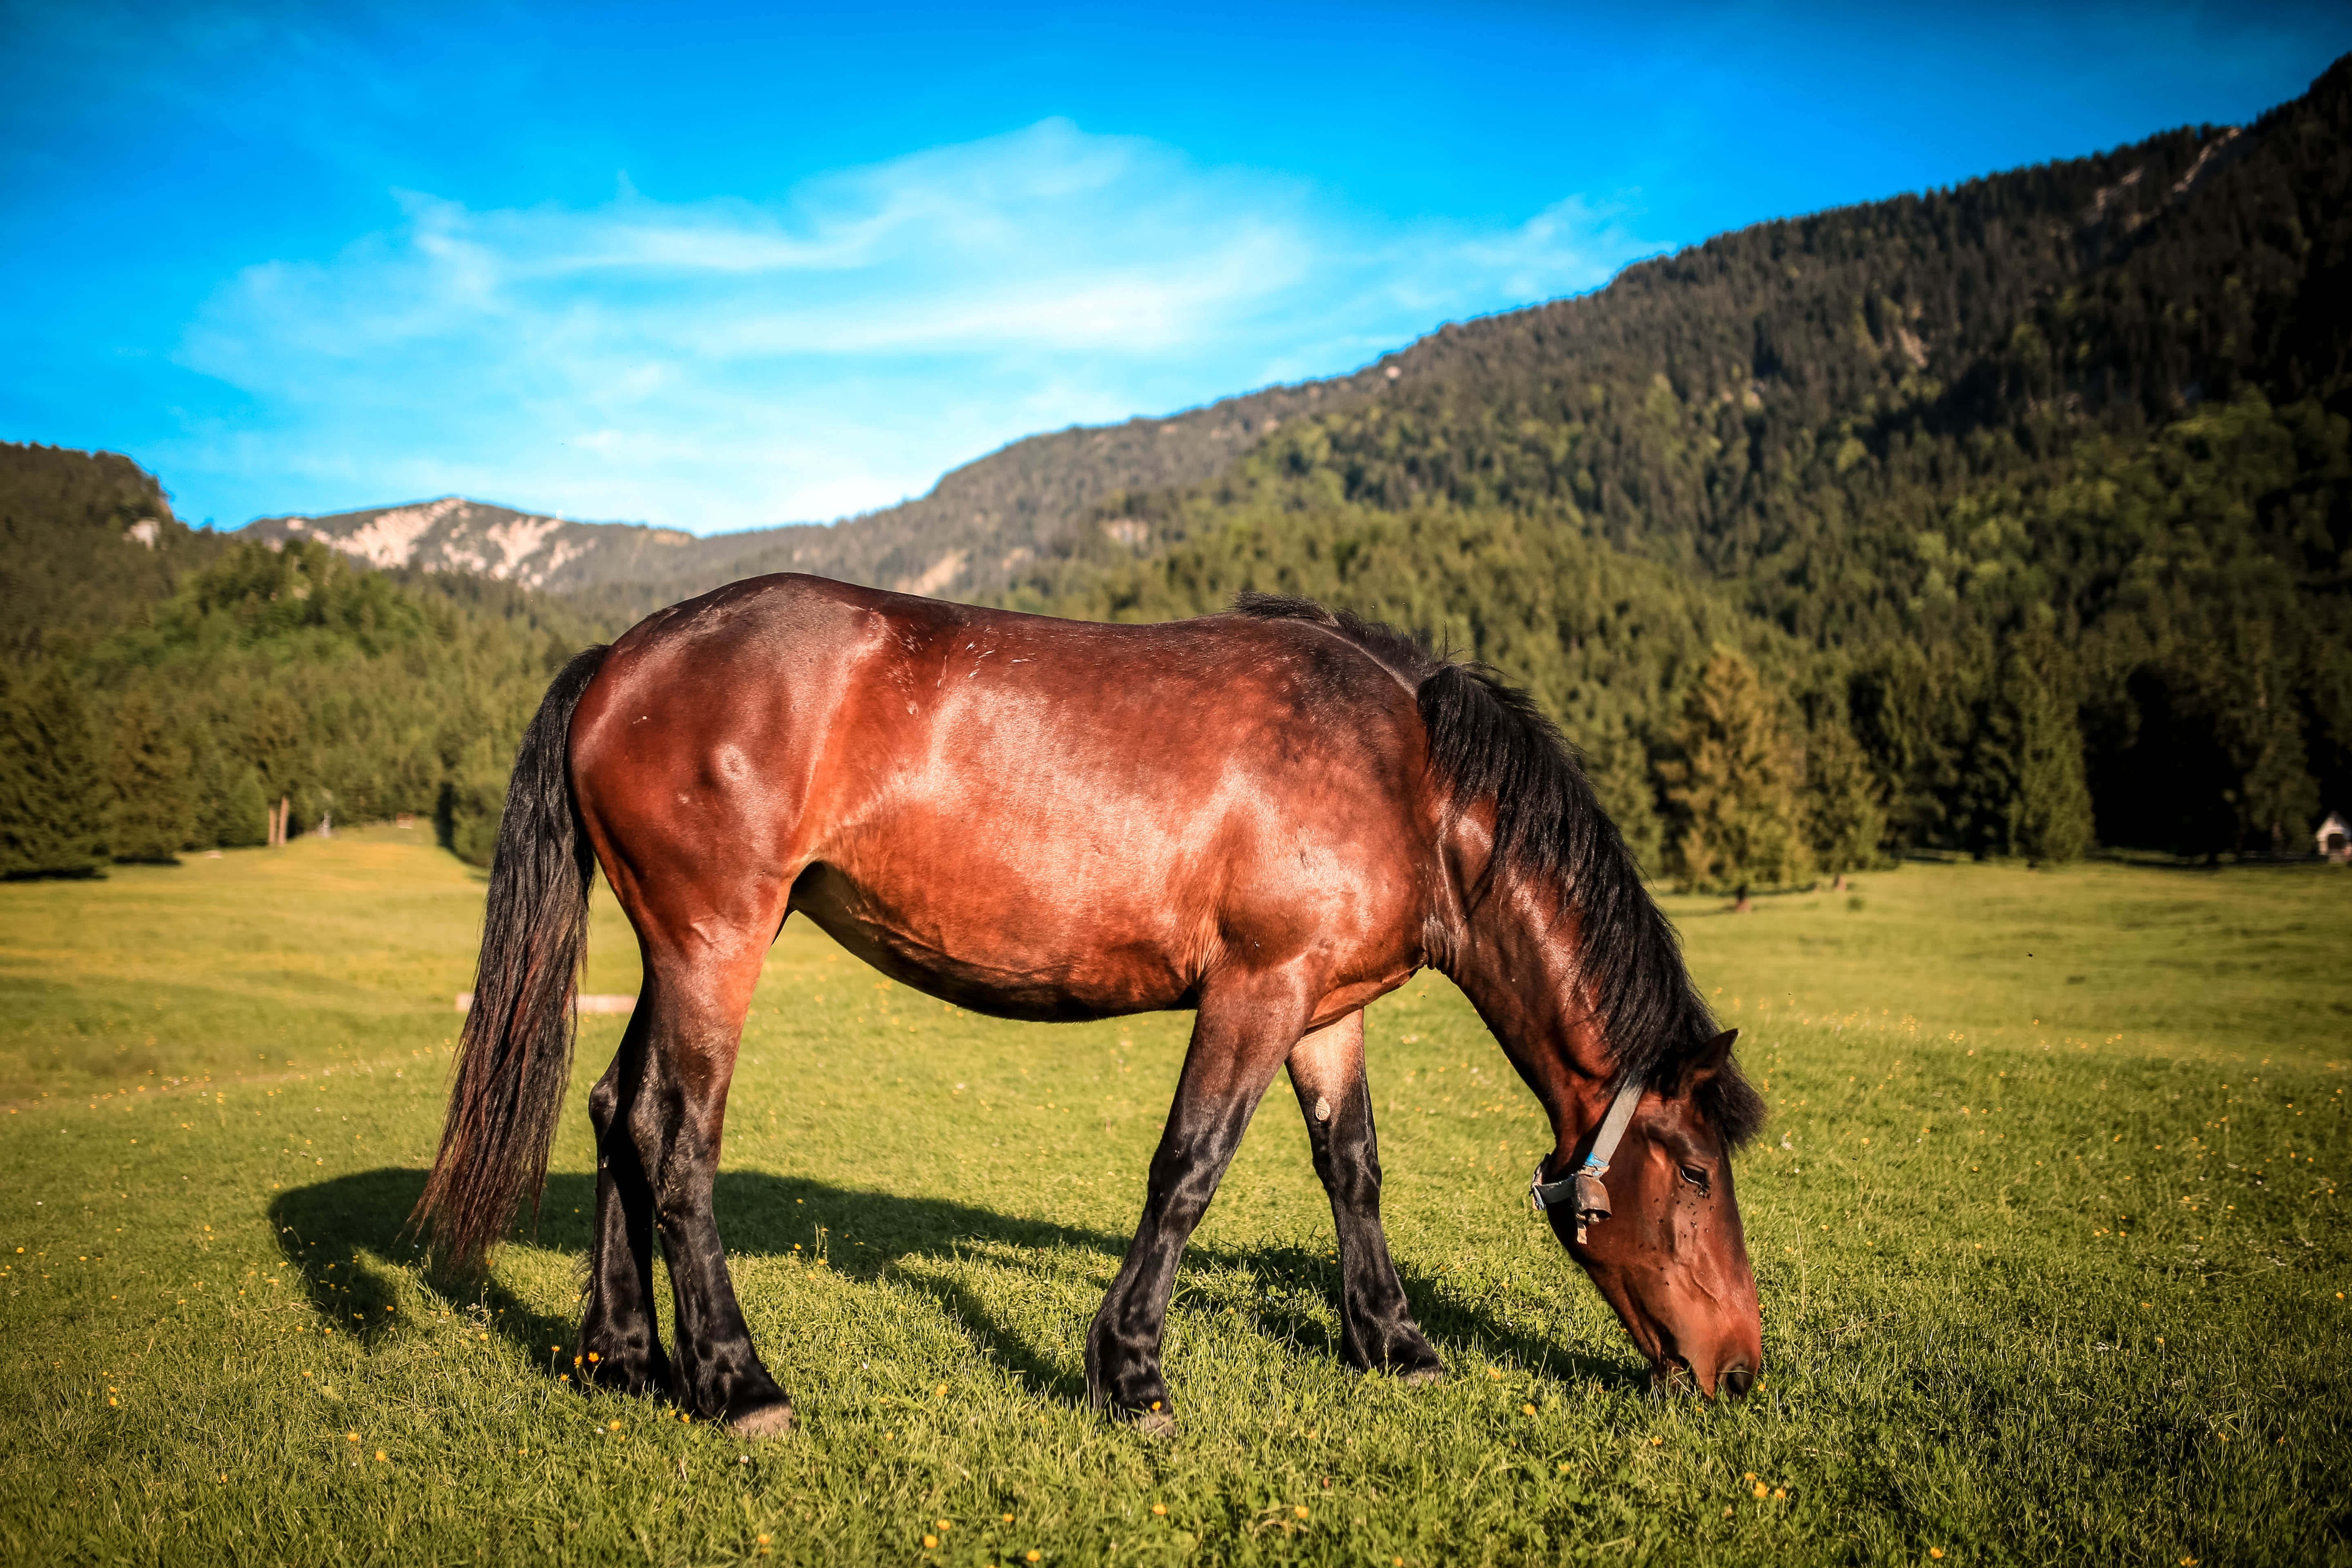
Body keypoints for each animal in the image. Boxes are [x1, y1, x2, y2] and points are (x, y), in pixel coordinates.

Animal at [414, 576, 1766, 1436]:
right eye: (1699, 1172)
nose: (1741, 1369)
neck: (1407, 769)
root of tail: (623, 657)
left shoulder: (1326, 1008)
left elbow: (1355, 1167)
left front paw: (1393, 1341)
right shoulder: (1256, 990)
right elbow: (1189, 1168)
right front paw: (1131, 1374)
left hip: (678, 949)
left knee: (616, 1110)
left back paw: (625, 1357)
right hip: (715, 943)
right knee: (677, 1139)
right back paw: (738, 1381)